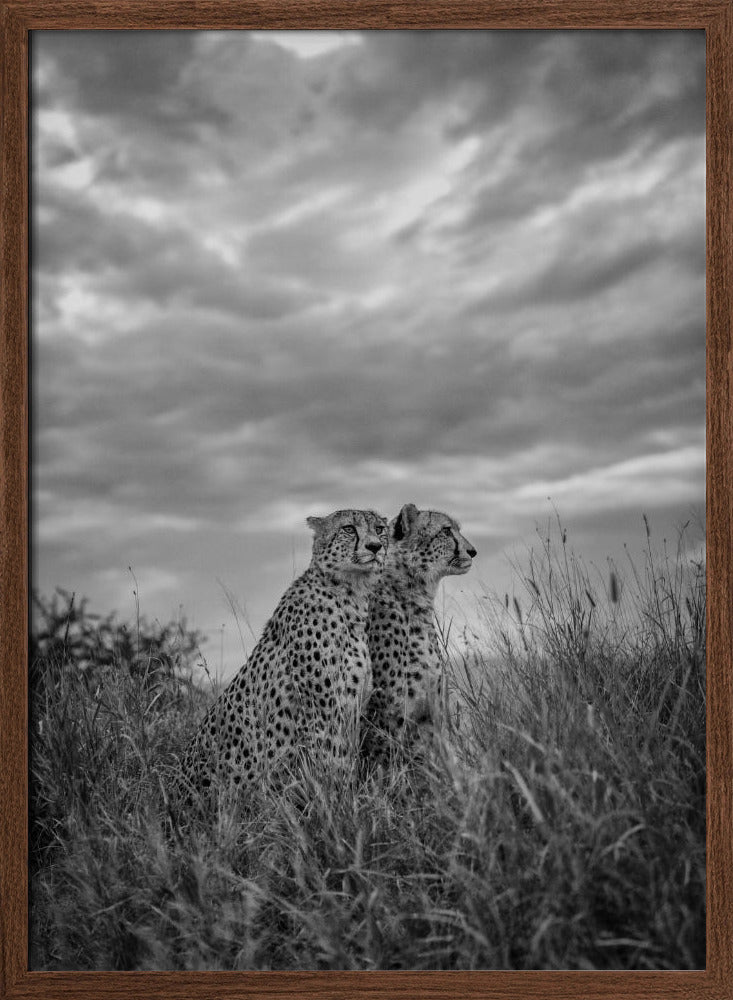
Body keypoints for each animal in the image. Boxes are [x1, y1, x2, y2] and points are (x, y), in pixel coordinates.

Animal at [174, 508, 388, 808]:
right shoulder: (322, 713)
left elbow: (347, 760)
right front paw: (341, 806)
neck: (350, 593)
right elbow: (332, 765)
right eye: (348, 529)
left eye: (380, 529)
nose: (375, 546)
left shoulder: (350, 709)